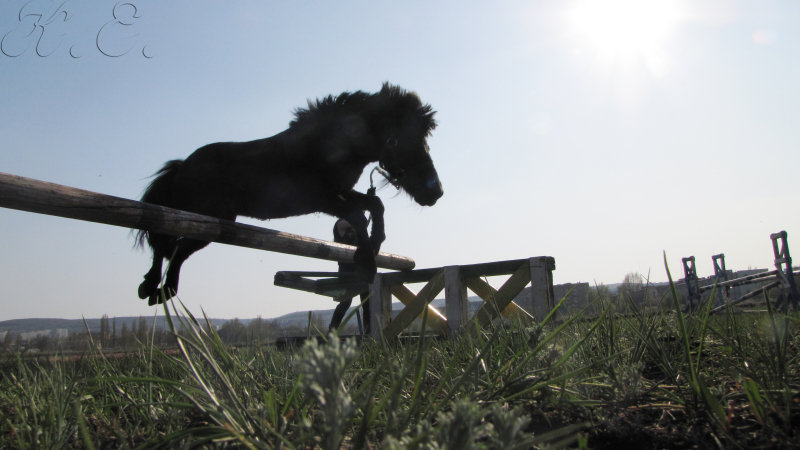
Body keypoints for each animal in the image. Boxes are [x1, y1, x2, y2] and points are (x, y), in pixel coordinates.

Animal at [135, 83, 442, 306]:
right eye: (398, 139)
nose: (436, 192)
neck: (329, 145)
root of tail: (182, 166)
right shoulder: (321, 199)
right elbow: (357, 214)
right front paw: (366, 262)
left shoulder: (341, 192)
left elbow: (375, 204)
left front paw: (373, 247)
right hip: (198, 215)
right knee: (163, 240)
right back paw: (151, 286)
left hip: (215, 222)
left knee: (176, 248)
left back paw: (162, 290)